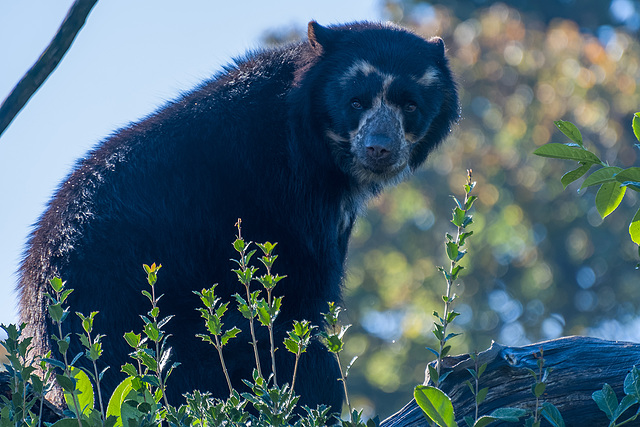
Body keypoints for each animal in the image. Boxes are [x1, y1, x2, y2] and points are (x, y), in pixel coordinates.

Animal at [17, 21, 458, 412]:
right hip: (175, 355)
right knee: (310, 365)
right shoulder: (283, 199)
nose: (379, 148)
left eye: (410, 105)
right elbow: (296, 298)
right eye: (355, 102)